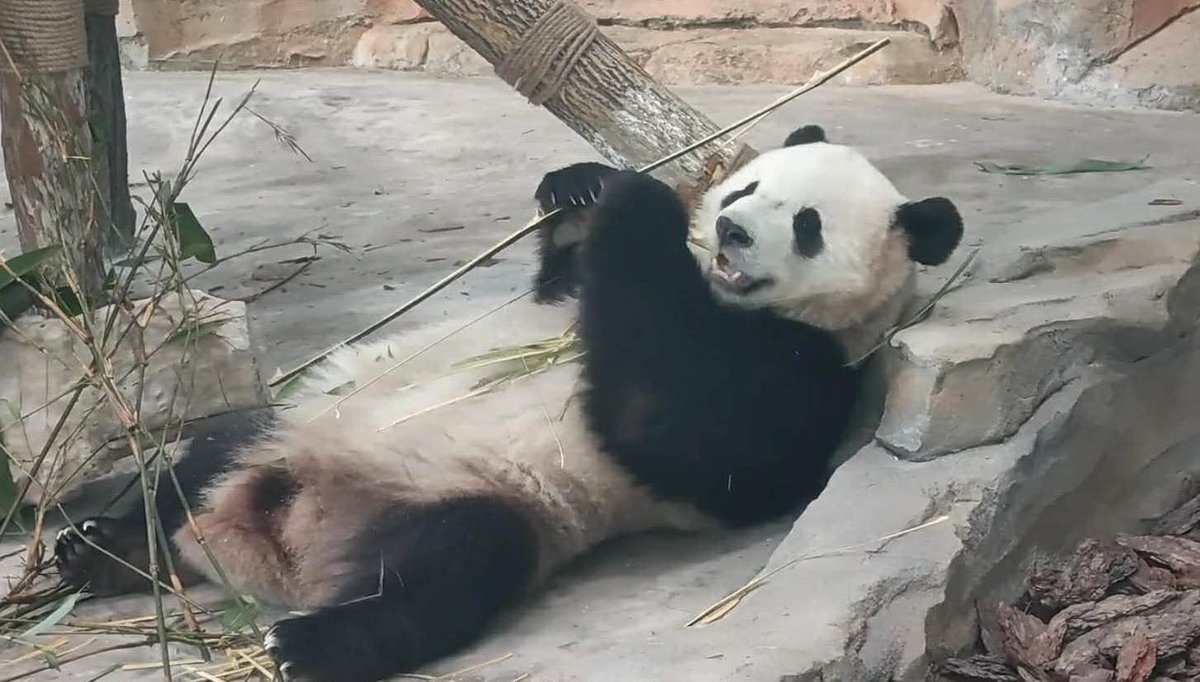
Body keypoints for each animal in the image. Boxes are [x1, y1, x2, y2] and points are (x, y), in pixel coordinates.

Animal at [52, 124, 963, 682]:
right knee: (198, 462)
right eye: (748, 187)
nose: (732, 232)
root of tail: (266, 541)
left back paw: (303, 643)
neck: (717, 294)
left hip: (463, 497)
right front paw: (581, 189)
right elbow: (565, 282)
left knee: (448, 564)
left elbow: (679, 427)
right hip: (295, 422)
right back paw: (101, 547)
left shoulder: (805, 370)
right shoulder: (575, 301)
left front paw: (638, 203)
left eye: (807, 224)